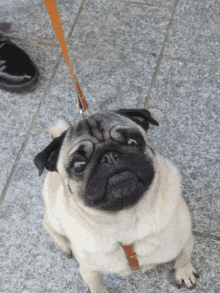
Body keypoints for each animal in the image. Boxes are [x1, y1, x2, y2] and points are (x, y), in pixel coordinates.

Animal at [34, 108, 199, 290]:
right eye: (78, 165)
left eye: (133, 141)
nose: (109, 156)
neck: (127, 219)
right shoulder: (89, 270)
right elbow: (97, 288)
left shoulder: (185, 238)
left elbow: (184, 257)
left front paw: (184, 272)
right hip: (55, 215)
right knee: (46, 223)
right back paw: (64, 245)